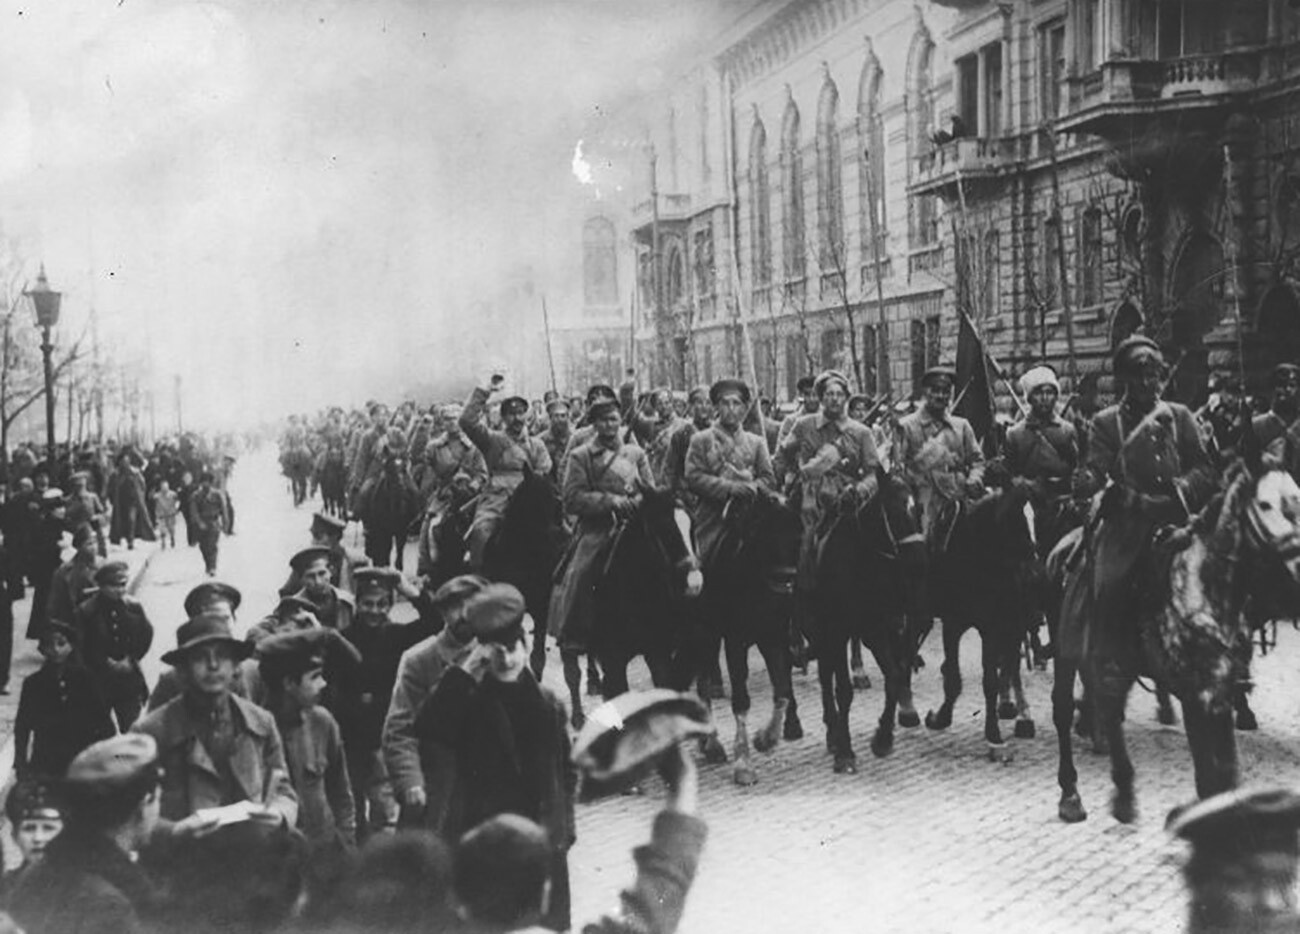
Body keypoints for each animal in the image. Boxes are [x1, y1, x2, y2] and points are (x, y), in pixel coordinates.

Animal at [696, 494, 806, 785]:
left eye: (799, 534)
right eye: (766, 535)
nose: (785, 579)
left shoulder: (774, 638)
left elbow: (782, 693)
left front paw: (765, 739)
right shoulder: (735, 642)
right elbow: (741, 701)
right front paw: (743, 763)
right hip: (704, 636)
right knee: (701, 684)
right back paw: (711, 743)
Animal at [806, 476, 930, 775]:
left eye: (918, 509)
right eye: (895, 512)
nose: (920, 561)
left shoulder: (876, 629)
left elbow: (894, 676)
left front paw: (883, 738)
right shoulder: (837, 631)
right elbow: (843, 691)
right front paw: (845, 751)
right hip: (820, 631)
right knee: (826, 678)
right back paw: (833, 733)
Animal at [920, 483, 1040, 759]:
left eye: (1034, 518)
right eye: (1016, 520)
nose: (1034, 571)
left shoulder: (993, 628)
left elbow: (991, 680)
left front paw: (993, 734)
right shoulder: (952, 625)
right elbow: (954, 677)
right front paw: (940, 717)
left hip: (1015, 622)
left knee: (1011, 664)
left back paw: (1022, 714)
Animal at [1050, 452, 1300, 827]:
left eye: (1297, 497)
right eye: (1265, 504)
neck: (1204, 593)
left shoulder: (1217, 693)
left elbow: (1223, 775)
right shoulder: (1195, 694)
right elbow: (1209, 779)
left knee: (1110, 704)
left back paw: (1121, 787)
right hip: (1065, 653)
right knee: (1066, 710)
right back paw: (1071, 794)